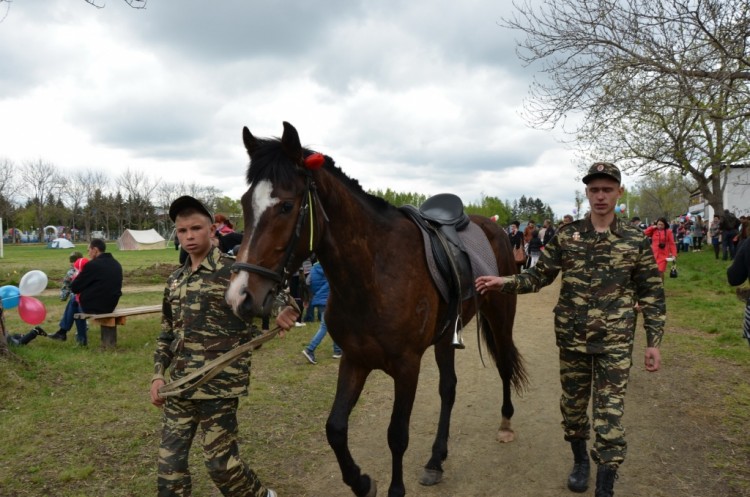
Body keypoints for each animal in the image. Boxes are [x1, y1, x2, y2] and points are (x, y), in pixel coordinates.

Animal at [229, 121, 528, 496]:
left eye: (285, 205)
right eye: (245, 203)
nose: (240, 296)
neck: (373, 273)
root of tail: (493, 227)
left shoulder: (407, 366)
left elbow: (397, 436)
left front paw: (393, 488)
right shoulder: (355, 360)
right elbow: (335, 428)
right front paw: (361, 482)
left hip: (501, 315)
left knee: (503, 363)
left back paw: (506, 422)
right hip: (447, 336)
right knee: (448, 388)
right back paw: (436, 459)